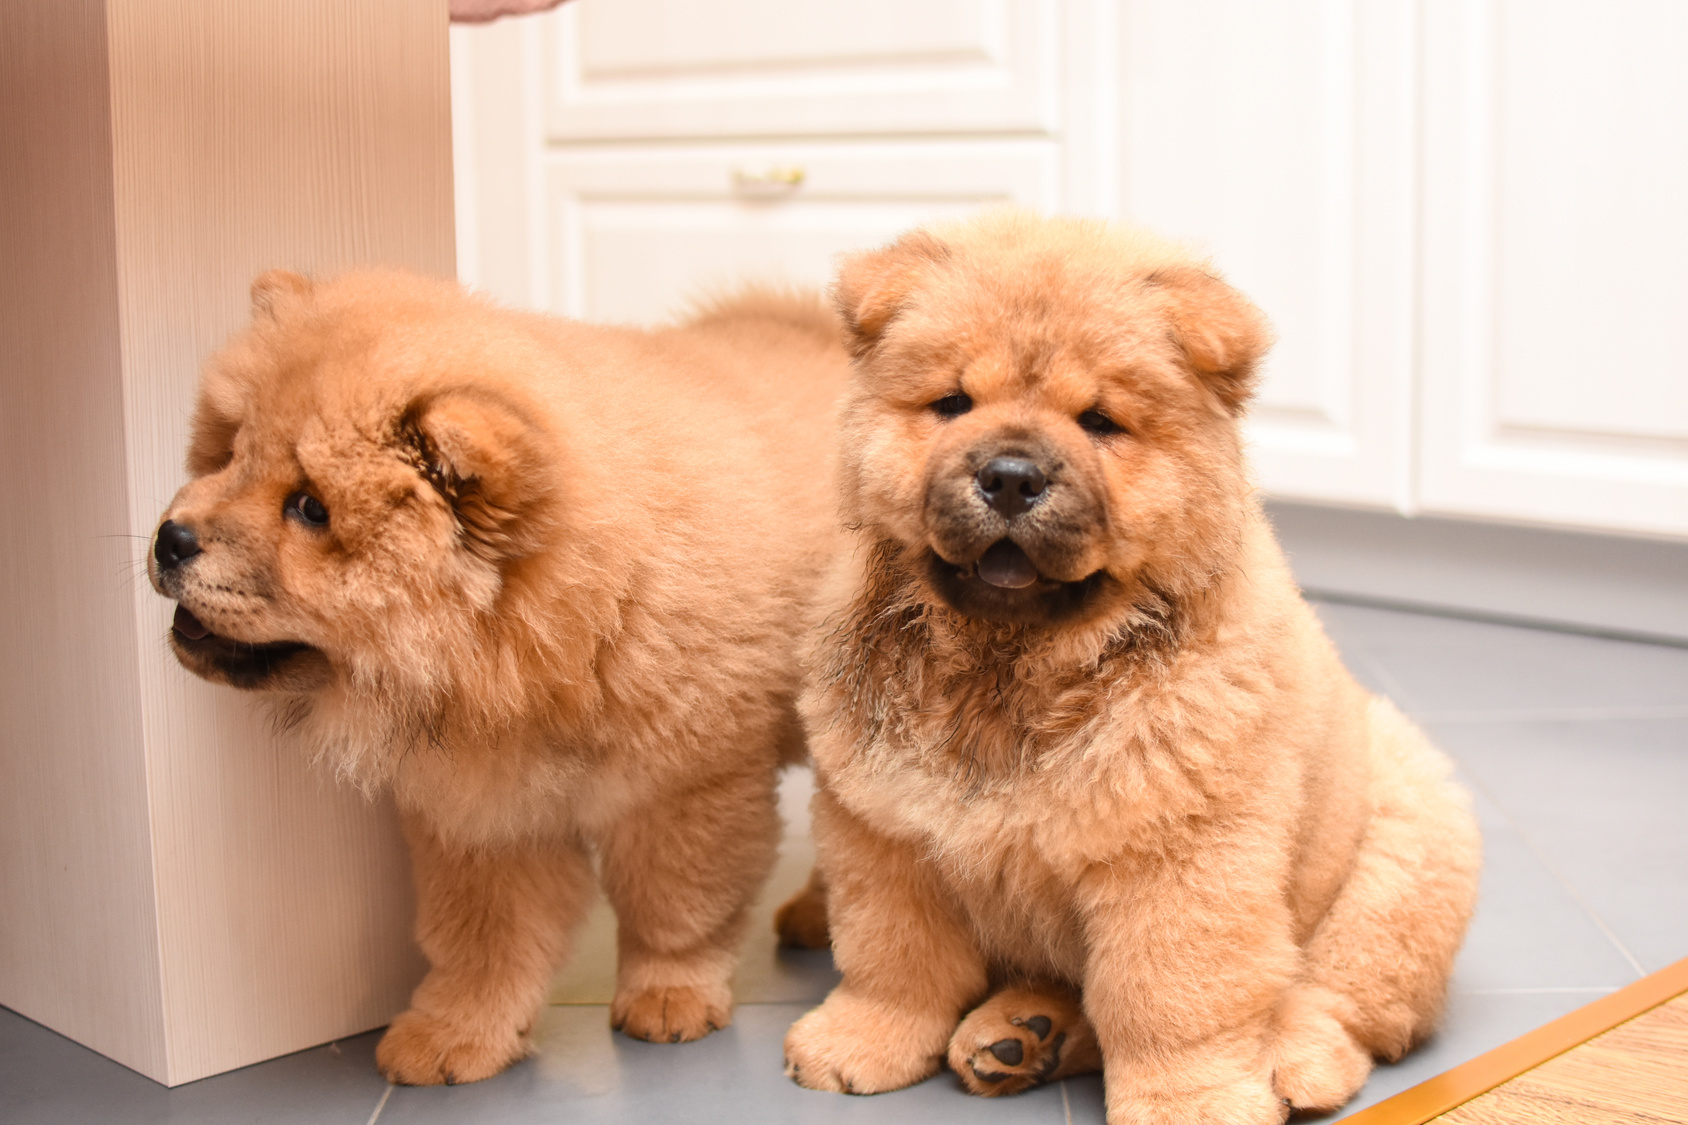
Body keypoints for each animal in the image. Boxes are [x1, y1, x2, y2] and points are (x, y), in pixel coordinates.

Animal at [151, 266, 850, 1081]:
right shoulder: (485, 811)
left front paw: (667, 998)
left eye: (309, 507)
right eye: (227, 453)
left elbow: (674, 907)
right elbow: (486, 938)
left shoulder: (684, 786)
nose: (169, 538)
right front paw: (456, 1034)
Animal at [776, 212, 1478, 1121]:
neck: (1010, 670)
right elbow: (891, 956)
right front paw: (861, 1041)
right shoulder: (883, 830)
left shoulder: (1178, 855)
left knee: (1341, 991)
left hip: (1403, 847)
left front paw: (1191, 1101)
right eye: (952, 404)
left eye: (1100, 421)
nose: (1010, 475)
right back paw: (1017, 1037)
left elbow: (1164, 996)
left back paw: (1296, 1059)